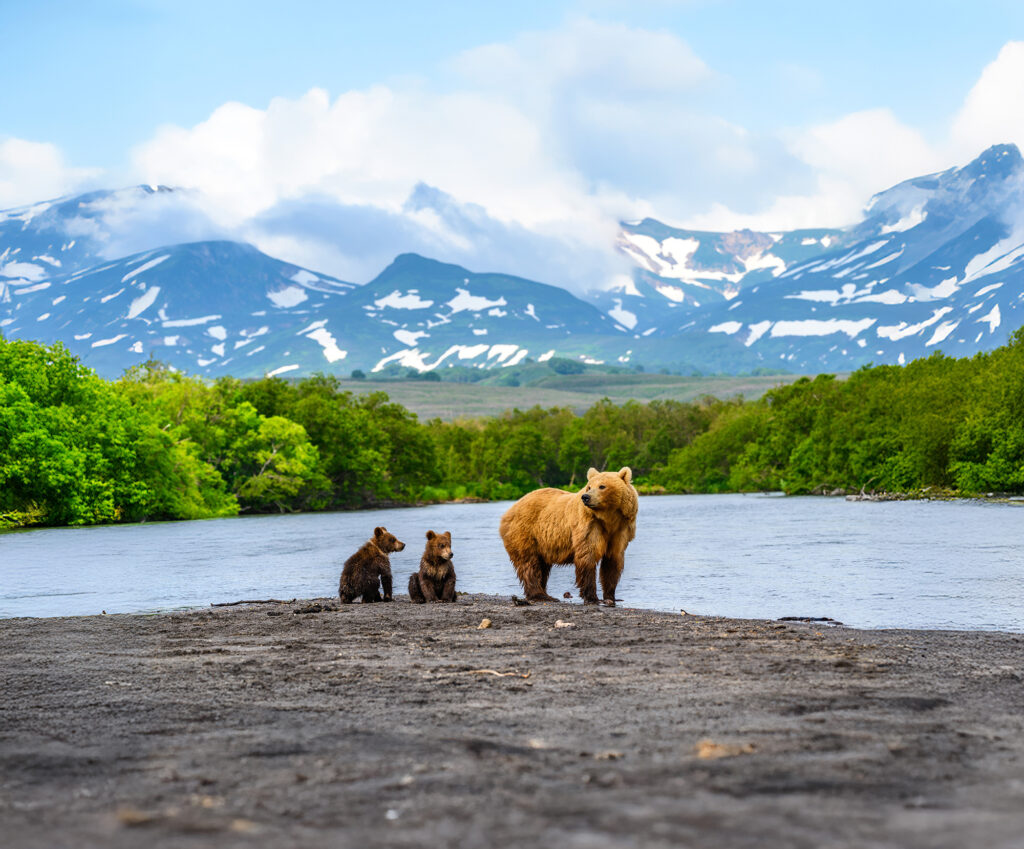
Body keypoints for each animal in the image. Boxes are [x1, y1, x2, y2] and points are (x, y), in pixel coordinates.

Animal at [499, 467, 638, 605]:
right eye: (589, 486)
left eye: (602, 486)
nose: (586, 497)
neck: (609, 518)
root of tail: (511, 508)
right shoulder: (589, 525)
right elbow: (587, 557)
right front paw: (592, 597)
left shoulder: (620, 530)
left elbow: (612, 561)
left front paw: (610, 596)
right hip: (525, 532)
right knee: (529, 563)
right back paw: (540, 595)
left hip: (541, 543)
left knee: (542, 566)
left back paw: (544, 594)